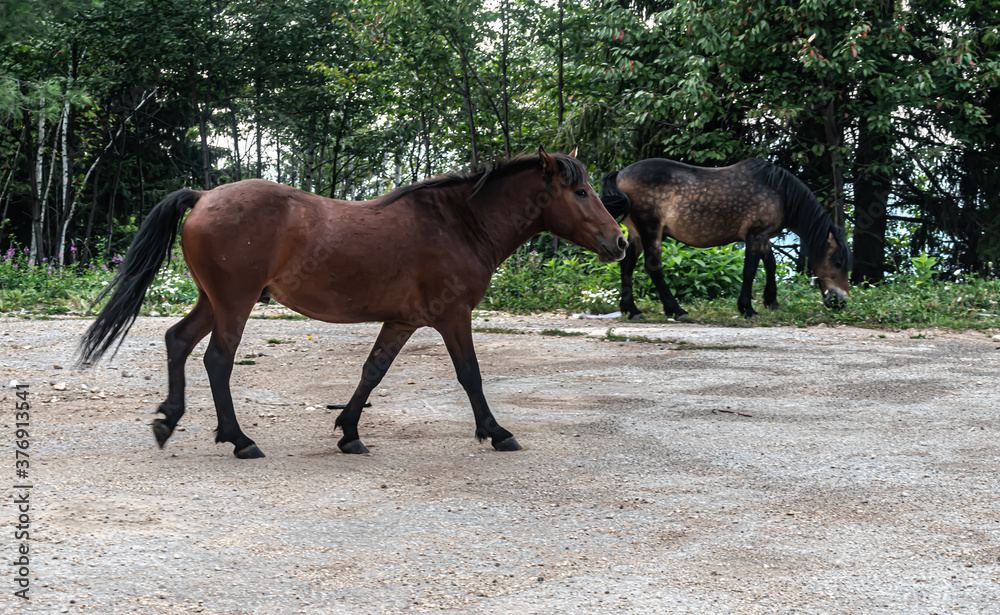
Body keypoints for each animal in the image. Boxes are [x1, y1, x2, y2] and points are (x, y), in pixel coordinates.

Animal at [78, 149, 628, 459]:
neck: (458, 223)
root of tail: (205, 196)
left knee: (178, 341)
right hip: (234, 302)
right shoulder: (453, 318)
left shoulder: (402, 321)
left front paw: (348, 432)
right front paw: (495, 432)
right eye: (581, 191)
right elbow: (470, 375)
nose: (620, 243)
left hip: (214, 300)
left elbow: (372, 372)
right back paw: (239, 440)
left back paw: (167, 421)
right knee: (217, 359)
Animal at [599, 158, 851, 320]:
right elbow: (750, 270)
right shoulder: (755, 235)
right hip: (651, 230)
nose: (841, 302)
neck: (779, 191)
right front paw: (747, 309)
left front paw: (771, 301)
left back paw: (631, 310)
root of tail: (620, 174)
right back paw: (676, 310)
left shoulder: (764, 236)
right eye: (838, 261)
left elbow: (771, 264)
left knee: (627, 266)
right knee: (653, 268)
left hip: (637, 234)